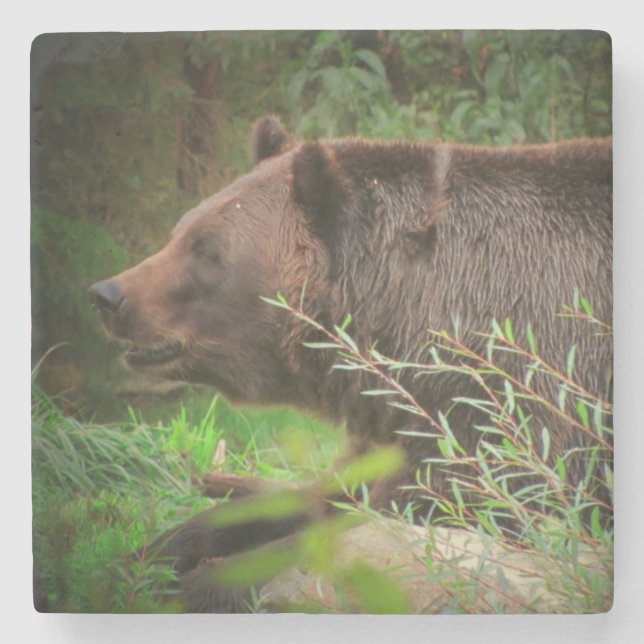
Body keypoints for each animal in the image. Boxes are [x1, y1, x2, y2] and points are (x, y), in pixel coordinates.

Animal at [89, 116, 612, 611]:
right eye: (180, 232)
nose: (108, 294)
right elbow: (321, 497)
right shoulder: (401, 422)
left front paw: (194, 584)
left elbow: (429, 506)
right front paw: (147, 554)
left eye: (207, 251)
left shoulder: (513, 401)